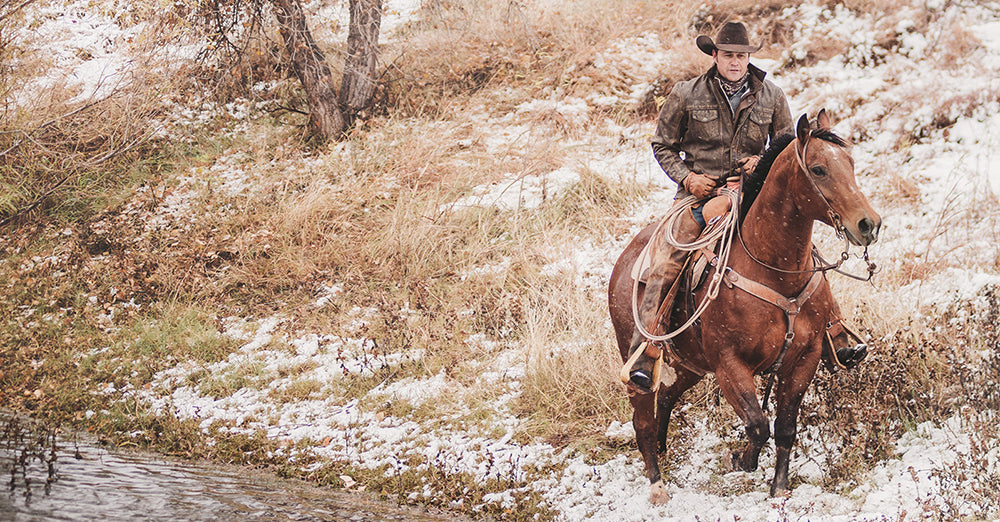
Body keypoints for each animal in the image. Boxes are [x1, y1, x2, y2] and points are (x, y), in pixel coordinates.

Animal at [607, 110, 881, 503]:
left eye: (851, 163)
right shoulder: (730, 364)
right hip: (640, 359)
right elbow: (757, 424)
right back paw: (657, 485)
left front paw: (779, 488)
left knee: (669, 396)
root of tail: (626, 258)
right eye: (818, 169)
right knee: (642, 416)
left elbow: (784, 427)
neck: (773, 271)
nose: (868, 224)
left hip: (691, 364)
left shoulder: (805, 358)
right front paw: (740, 459)